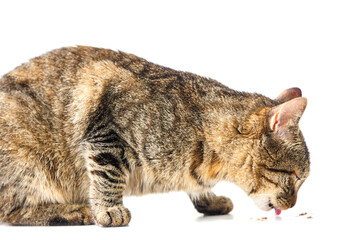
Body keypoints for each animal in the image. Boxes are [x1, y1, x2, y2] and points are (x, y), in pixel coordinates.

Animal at [0, 46, 310, 226]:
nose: (293, 205)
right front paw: (108, 209)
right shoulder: (106, 119)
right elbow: (107, 176)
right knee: (13, 211)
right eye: (296, 177)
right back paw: (74, 211)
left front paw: (210, 200)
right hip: (26, 160)